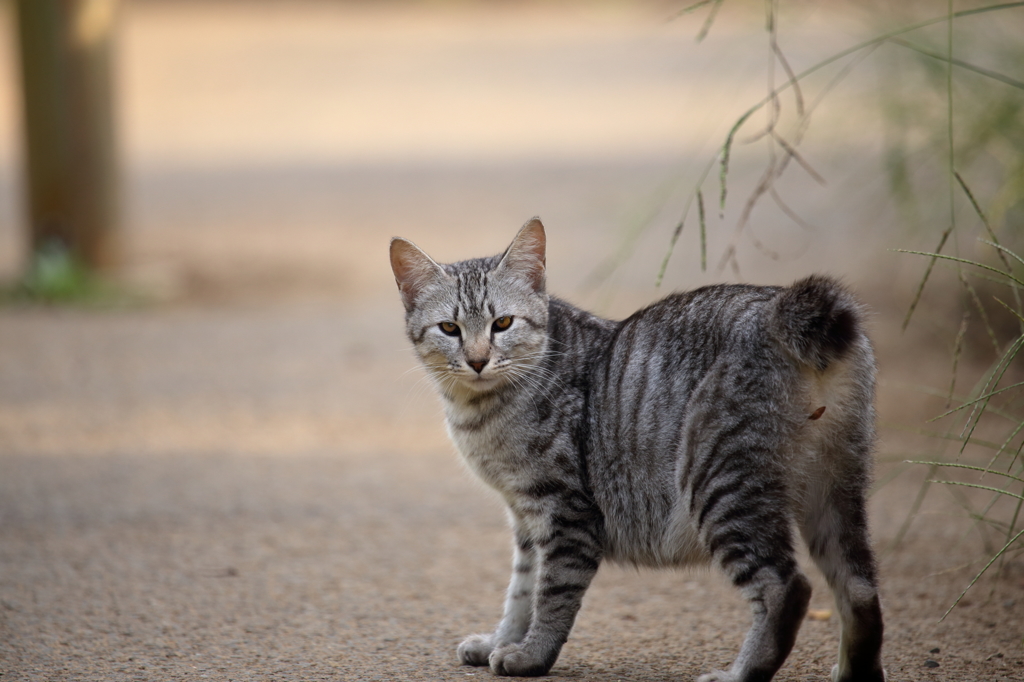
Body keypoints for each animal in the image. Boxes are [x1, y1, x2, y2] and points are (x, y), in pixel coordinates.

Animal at [387, 219, 884, 679]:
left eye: (503, 323)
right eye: (449, 328)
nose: (477, 360)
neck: (481, 412)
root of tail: (783, 307)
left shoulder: (564, 511)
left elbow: (551, 594)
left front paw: (530, 655)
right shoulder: (525, 516)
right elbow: (521, 591)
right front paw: (501, 639)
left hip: (720, 483)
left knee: (787, 587)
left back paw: (741, 674)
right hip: (833, 488)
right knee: (859, 589)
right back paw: (855, 672)